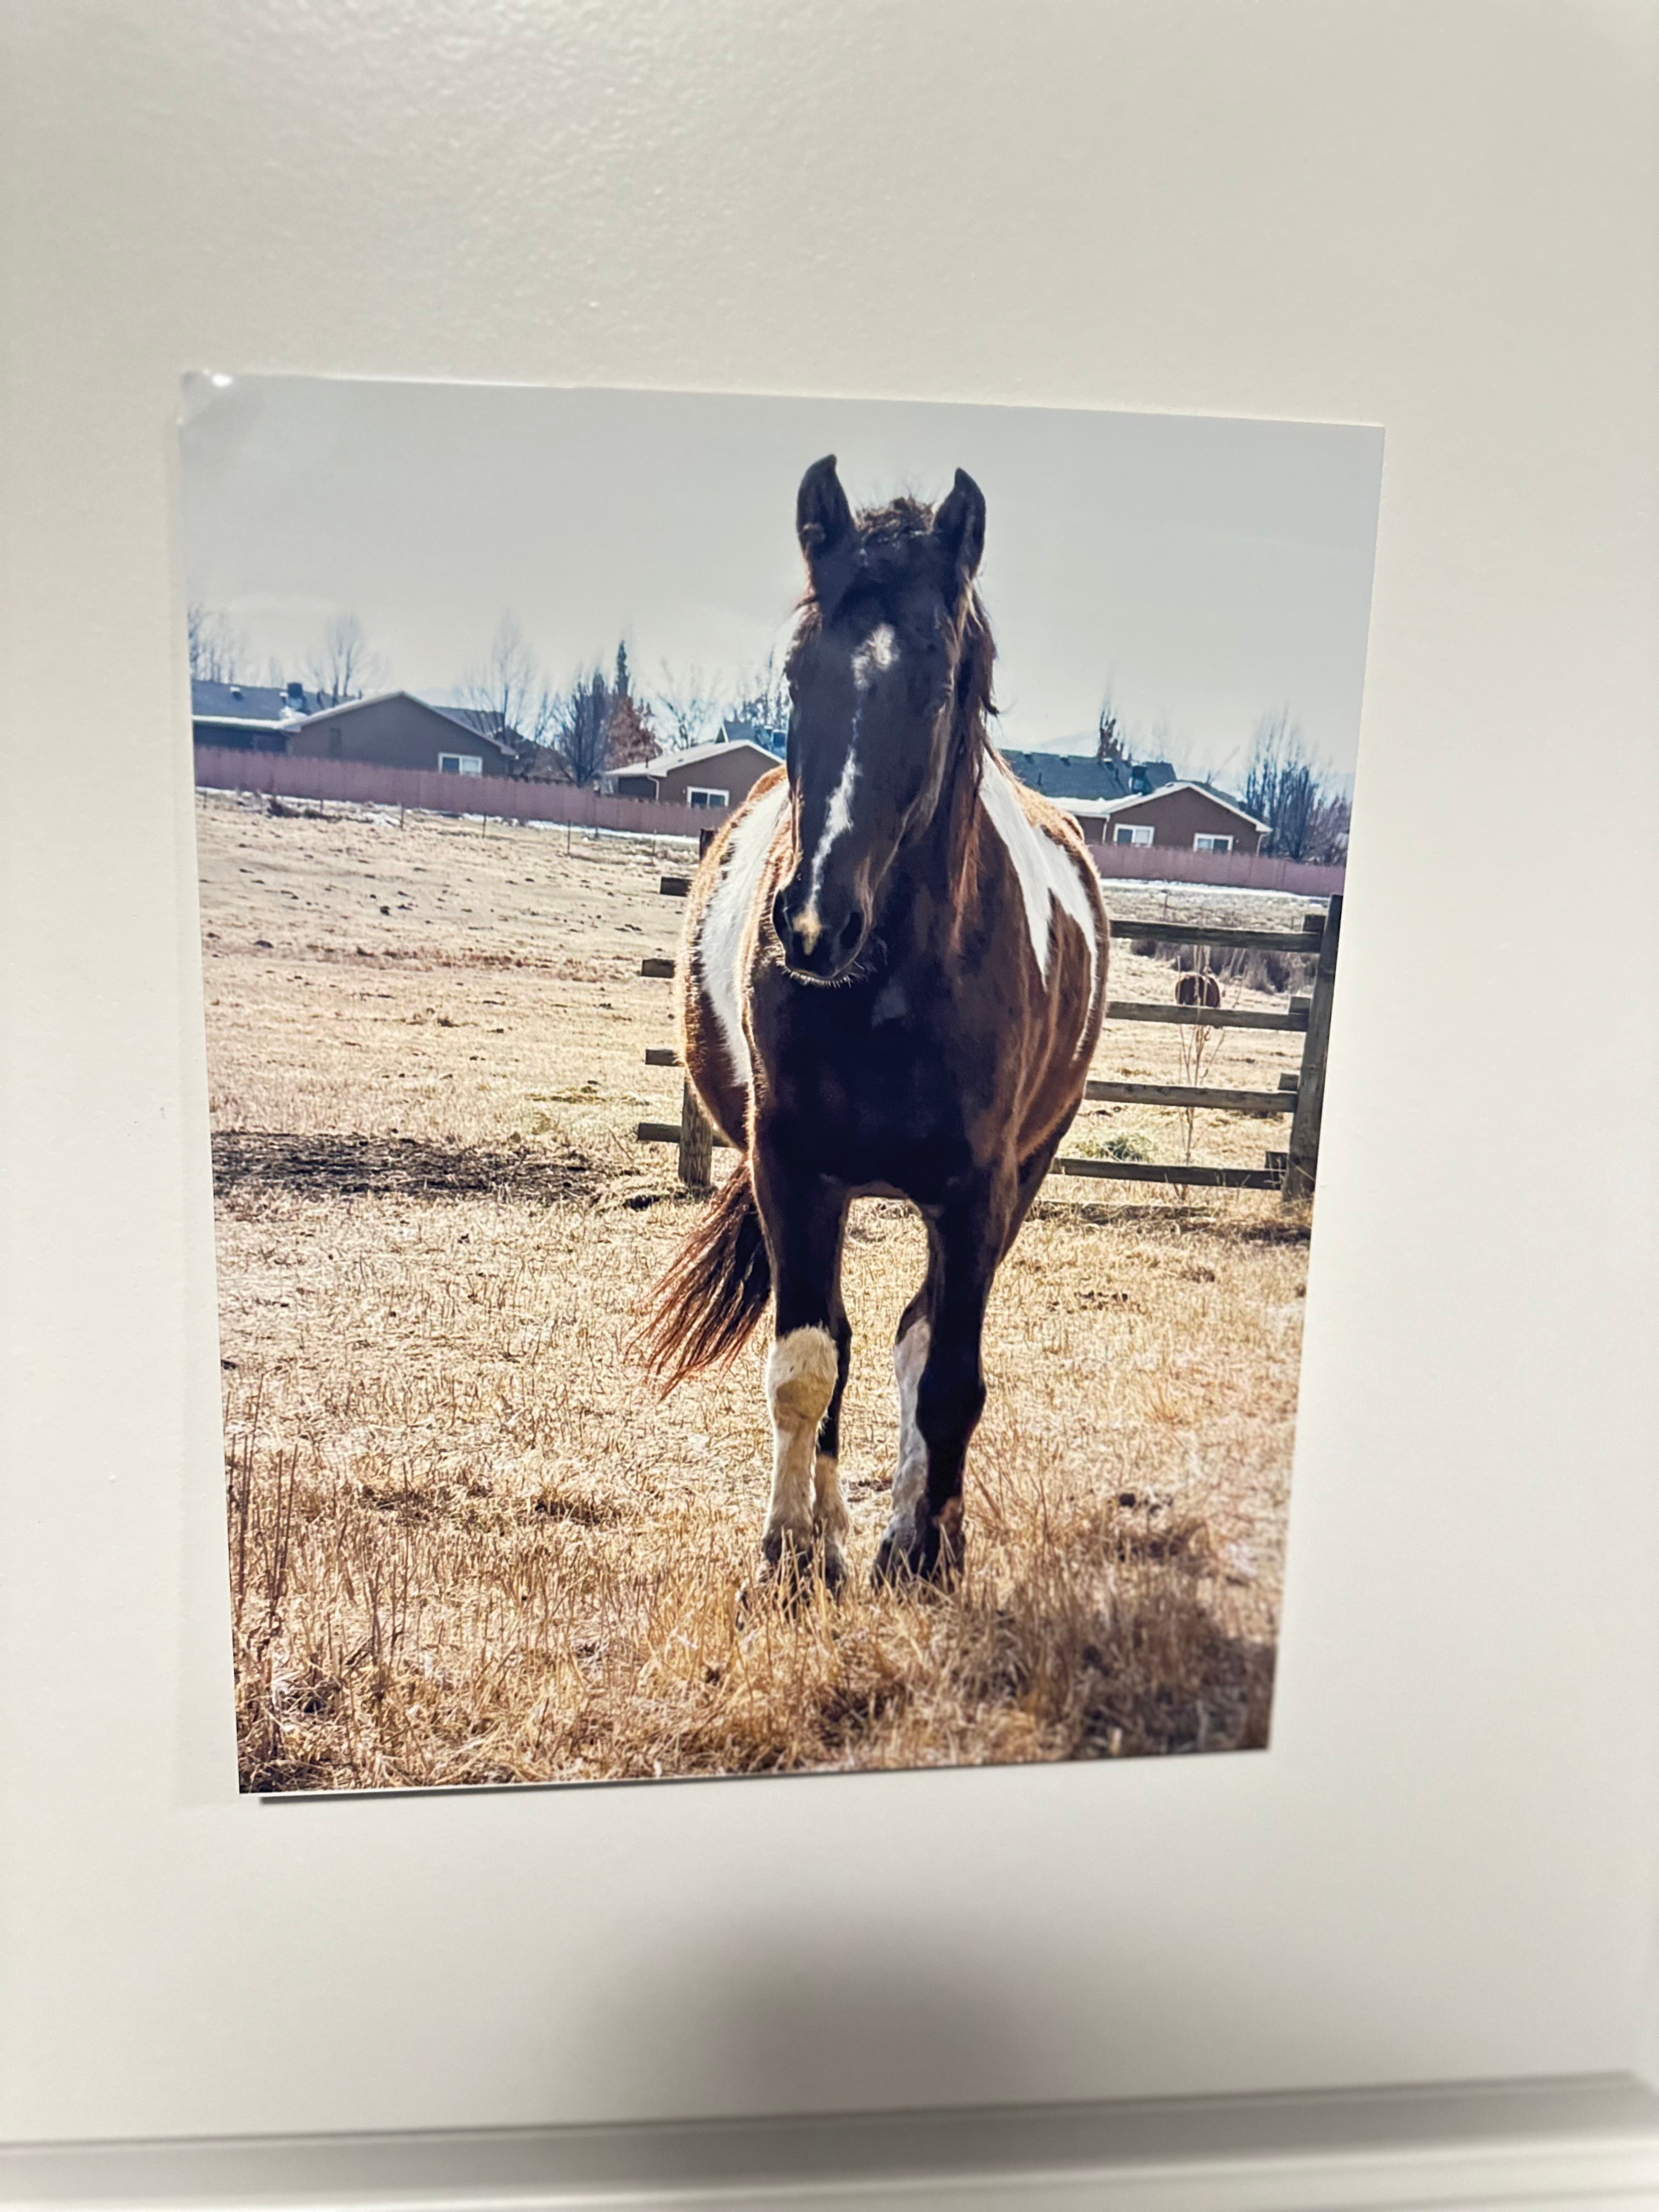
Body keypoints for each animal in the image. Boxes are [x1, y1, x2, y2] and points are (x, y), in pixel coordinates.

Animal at [637, 456, 1108, 1590]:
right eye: (796, 675)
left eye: (936, 687)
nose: (810, 922)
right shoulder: (791, 1167)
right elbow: (805, 1366)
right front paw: (791, 1556)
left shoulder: (978, 1193)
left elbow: (945, 1374)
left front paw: (927, 1550)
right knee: (848, 1344)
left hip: (1018, 1179)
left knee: (913, 1339)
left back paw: (908, 1533)